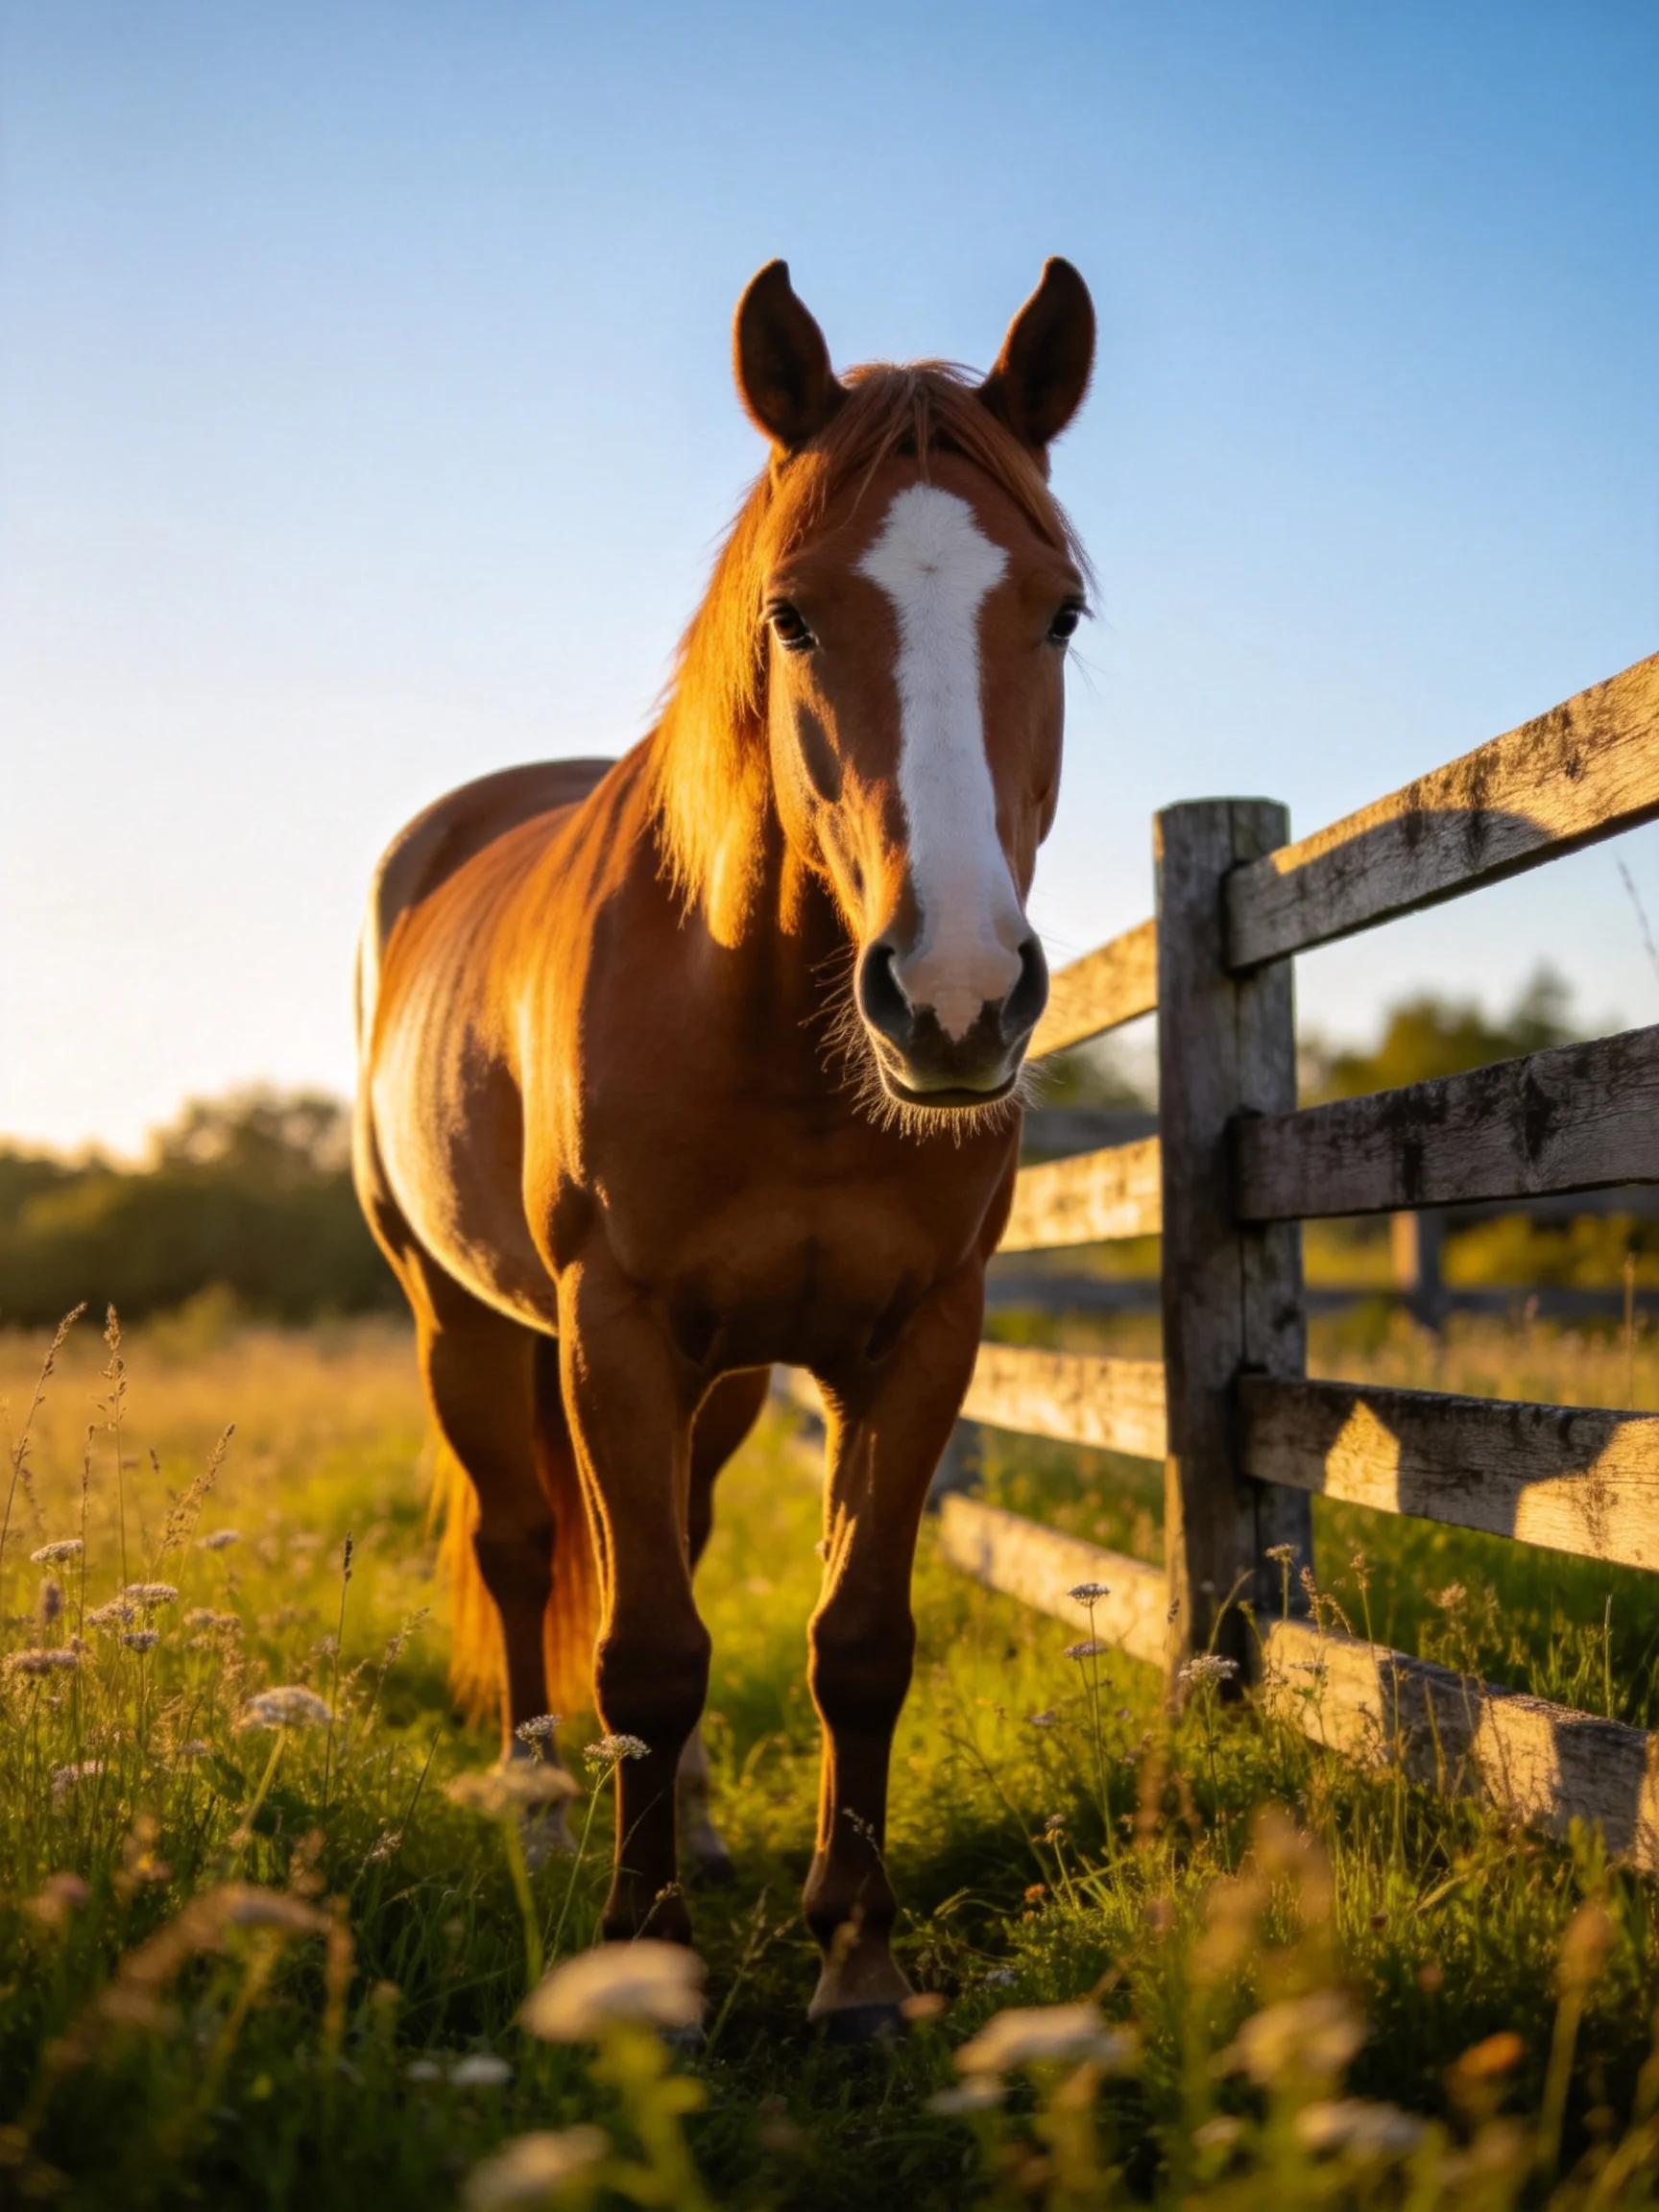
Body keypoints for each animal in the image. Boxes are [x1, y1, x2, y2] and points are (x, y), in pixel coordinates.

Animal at [353, 255, 1095, 2038]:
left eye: (1058, 611)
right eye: (794, 613)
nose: (955, 995)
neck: (776, 1026)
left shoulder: (914, 1339)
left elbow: (855, 1640)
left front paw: (859, 1963)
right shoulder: (610, 1331)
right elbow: (640, 1648)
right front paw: (649, 1954)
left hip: (731, 1375)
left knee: (670, 1544)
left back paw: (682, 1821)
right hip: (463, 1321)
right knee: (525, 1551)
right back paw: (548, 1822)